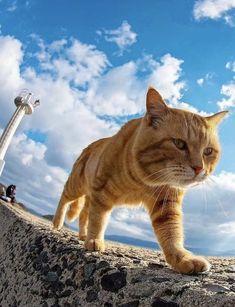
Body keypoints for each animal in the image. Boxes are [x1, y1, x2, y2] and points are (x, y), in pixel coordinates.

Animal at [52, 88, 227, 274]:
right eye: (179, 144)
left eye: (208, 151)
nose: (199, 168)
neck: (143, 181)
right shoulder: (101, 192)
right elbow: (98, 219)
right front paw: (95, 241)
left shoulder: (166, 203)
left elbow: (172, 233)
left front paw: (181, 258)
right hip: (77, 185)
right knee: (65, 197)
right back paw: (58, 223)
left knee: (84, 213)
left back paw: (83, 235)